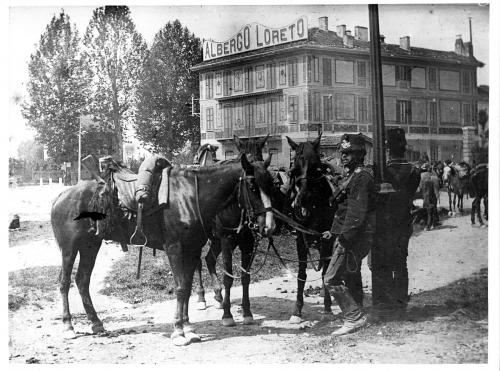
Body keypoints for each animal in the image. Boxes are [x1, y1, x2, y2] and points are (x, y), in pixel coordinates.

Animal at [51, 154, 278, 346]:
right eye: (252, 185)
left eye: (272, 184)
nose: (269, 226)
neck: (191, 197)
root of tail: (62, 195)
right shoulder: (174, 249)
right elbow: (180, 288)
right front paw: (178, 331)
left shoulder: (192, 250)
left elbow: (187, 287)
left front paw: (189, 328)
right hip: (69, 248)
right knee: (64, 282)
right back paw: (68, 326)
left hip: (90, 246)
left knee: (82, 280)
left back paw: (96, 323)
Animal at [286, 135, 336, 324]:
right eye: (294, 166)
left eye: (316, 167)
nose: (303, 199)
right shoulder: (301, 240)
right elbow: (301, 275)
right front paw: (297, 310)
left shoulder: (327, 238)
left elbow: (325, 271)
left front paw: (328, 307)